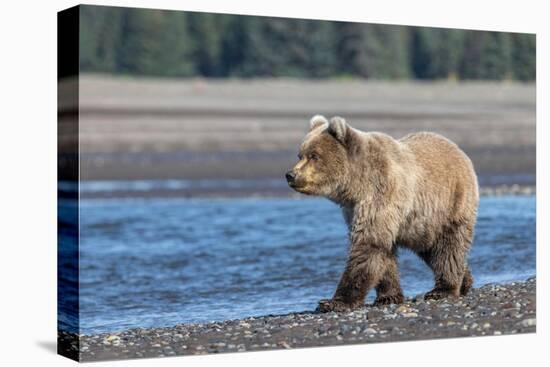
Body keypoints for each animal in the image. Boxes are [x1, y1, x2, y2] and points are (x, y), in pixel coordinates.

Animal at [286, 115, 480, 314]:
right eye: (300, 155)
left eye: (314, 155)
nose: (290, 175)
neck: (356, 185)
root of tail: (458, 149)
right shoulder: (354, 209)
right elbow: (383, 252)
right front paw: (388, 296)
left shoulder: (381, 193)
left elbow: (368, 246)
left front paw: (333, 302)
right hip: (419, 224)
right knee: (431, 249)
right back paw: (465, 281)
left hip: (450, 204)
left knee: (448, 246)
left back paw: (443, 290)